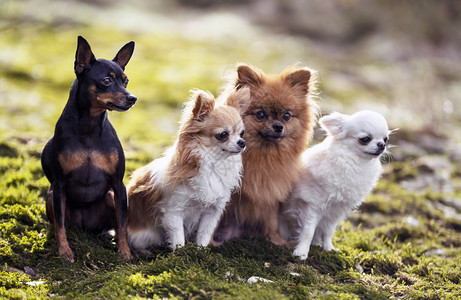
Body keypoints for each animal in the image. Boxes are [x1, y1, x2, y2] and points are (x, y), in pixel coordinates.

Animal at [41, 36, 136, 262]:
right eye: (106, 81)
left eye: (126, 81)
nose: (132, 98)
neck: (89, 128)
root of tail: (85, 227)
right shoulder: (59, 186)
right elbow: (59, 226)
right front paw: (64, 252)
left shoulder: (118, 185)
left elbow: (123, 224)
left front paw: (125, 253)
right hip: (51, 196)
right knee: (60, 224)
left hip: (110, 196)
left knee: (114, 224)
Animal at [214, 63, 318, 246]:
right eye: (260, 114)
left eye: (287, 116)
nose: (278, 126)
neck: (264, 156)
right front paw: (208, 243)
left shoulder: (269, 193)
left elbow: (272, 221)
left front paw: (277, 242)